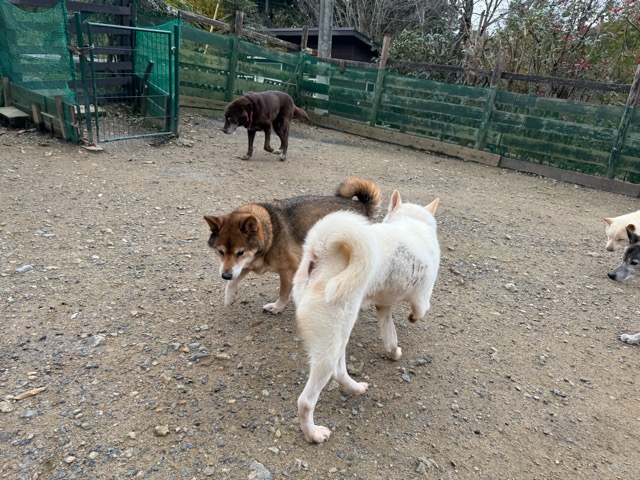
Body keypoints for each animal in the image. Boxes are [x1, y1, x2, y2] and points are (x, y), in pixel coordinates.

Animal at [203, 178, 380, 314]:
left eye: (240, 252)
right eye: (220, 252)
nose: (225, 275)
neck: (270, 234)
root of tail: (360, 206)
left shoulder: (287, 270)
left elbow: (283, 293)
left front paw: (276, 308)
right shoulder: (245, 265)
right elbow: (233, 281)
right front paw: (229, 297)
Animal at [292, 191, 440, 443]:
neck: (412, 223)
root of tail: (323, 249)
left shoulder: (384, 307)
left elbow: (390, 337)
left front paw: (393, 353)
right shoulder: (423, 297)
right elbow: (420, 311)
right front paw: (411, 318)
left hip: (339, 335)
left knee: (339, 371)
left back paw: (355, 388)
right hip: (331, 342)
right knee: (306, 401)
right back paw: (313, 434)